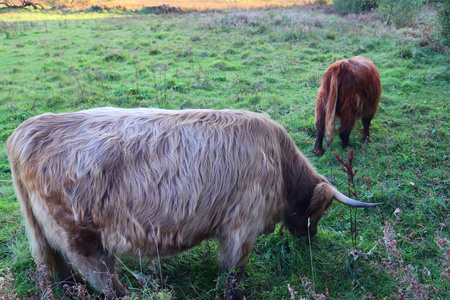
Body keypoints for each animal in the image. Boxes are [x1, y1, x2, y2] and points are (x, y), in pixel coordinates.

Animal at [7, 108, 382, 300]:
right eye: (319, 211)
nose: (311, 237)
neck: (279, 161)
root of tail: (23, 132)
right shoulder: (241, 226)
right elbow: (233, 271)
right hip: (80, 236)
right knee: (100, 277)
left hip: (45, 237)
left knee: (58, 270)